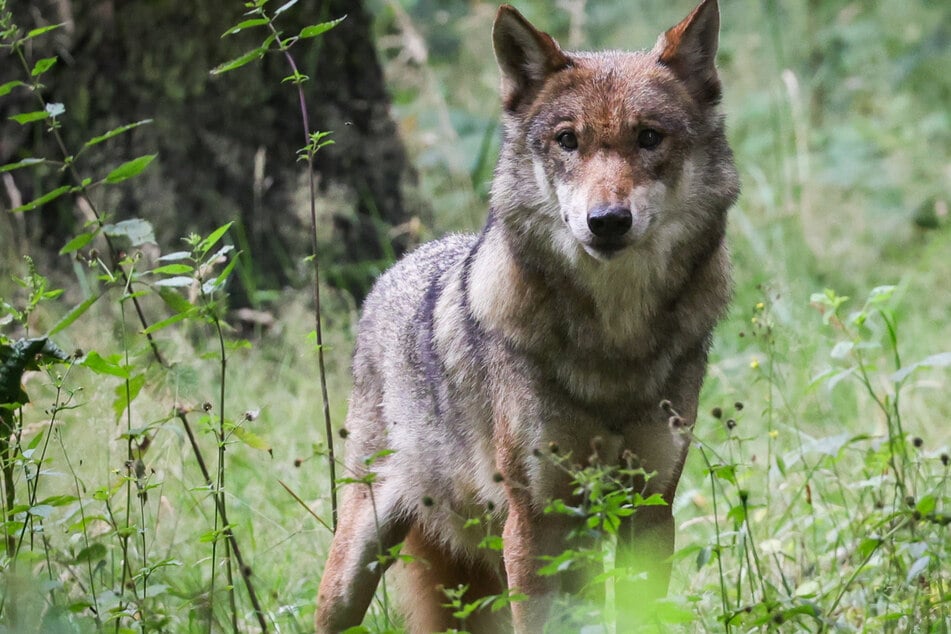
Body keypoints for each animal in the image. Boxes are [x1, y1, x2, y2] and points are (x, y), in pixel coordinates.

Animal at [316, 1, 740, 628]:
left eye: (648, 138)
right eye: (567, 141)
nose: (606, 221)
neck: (614, 343)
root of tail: (398, 267)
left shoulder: (648, 509)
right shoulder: (535, 521)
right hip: (356, 567)